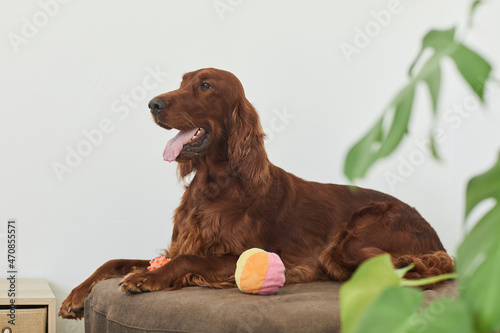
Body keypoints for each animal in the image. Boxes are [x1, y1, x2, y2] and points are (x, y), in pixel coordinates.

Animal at [58, 68, 454, 320]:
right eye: (181, 81)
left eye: (205, 85)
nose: (153, 104)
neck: (215, 185)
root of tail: (433, 231)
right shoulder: (177, 245)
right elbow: (114, 261)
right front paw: (77, 296)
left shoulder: (237, 255)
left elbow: (187, 262)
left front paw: (145, 279)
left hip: (349, 242)